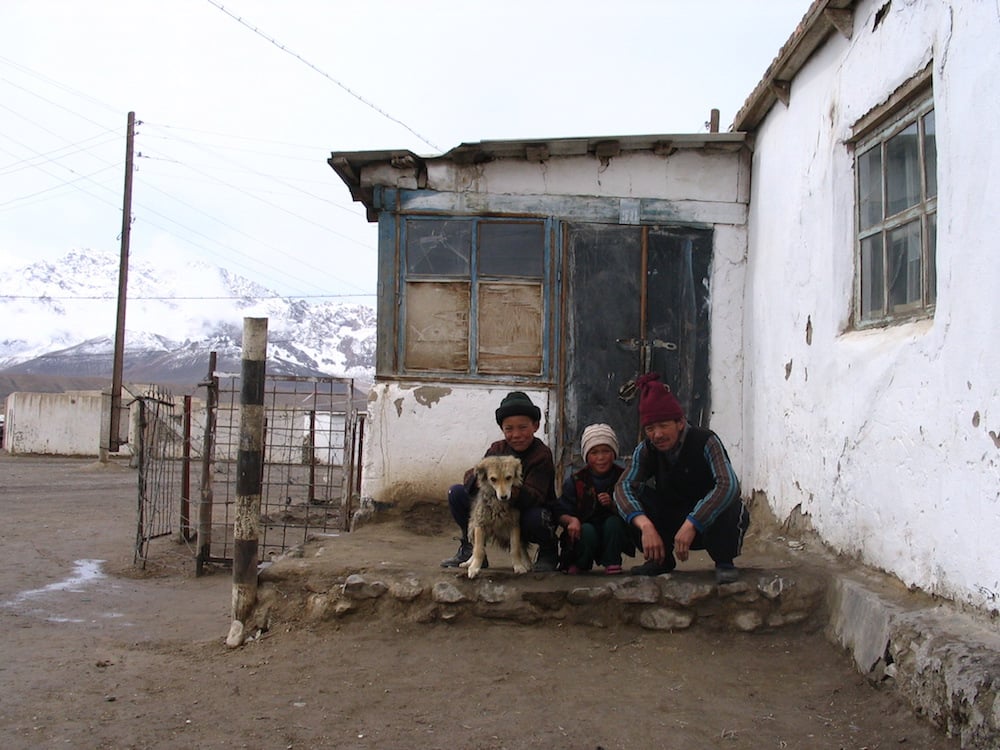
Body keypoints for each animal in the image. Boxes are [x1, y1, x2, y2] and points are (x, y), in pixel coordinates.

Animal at [458, 452, 532, 580]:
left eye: (508, 477)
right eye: (493, 479)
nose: (504, 497)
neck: (498, 504)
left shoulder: (515, 525)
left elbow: (515, 549)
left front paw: (518, 566)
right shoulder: (480, 525)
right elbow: (478, 550)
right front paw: (474, 568)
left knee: (522, 547)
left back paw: (528, 563)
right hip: (472, 529)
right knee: (475, 548)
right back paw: (468, 563)